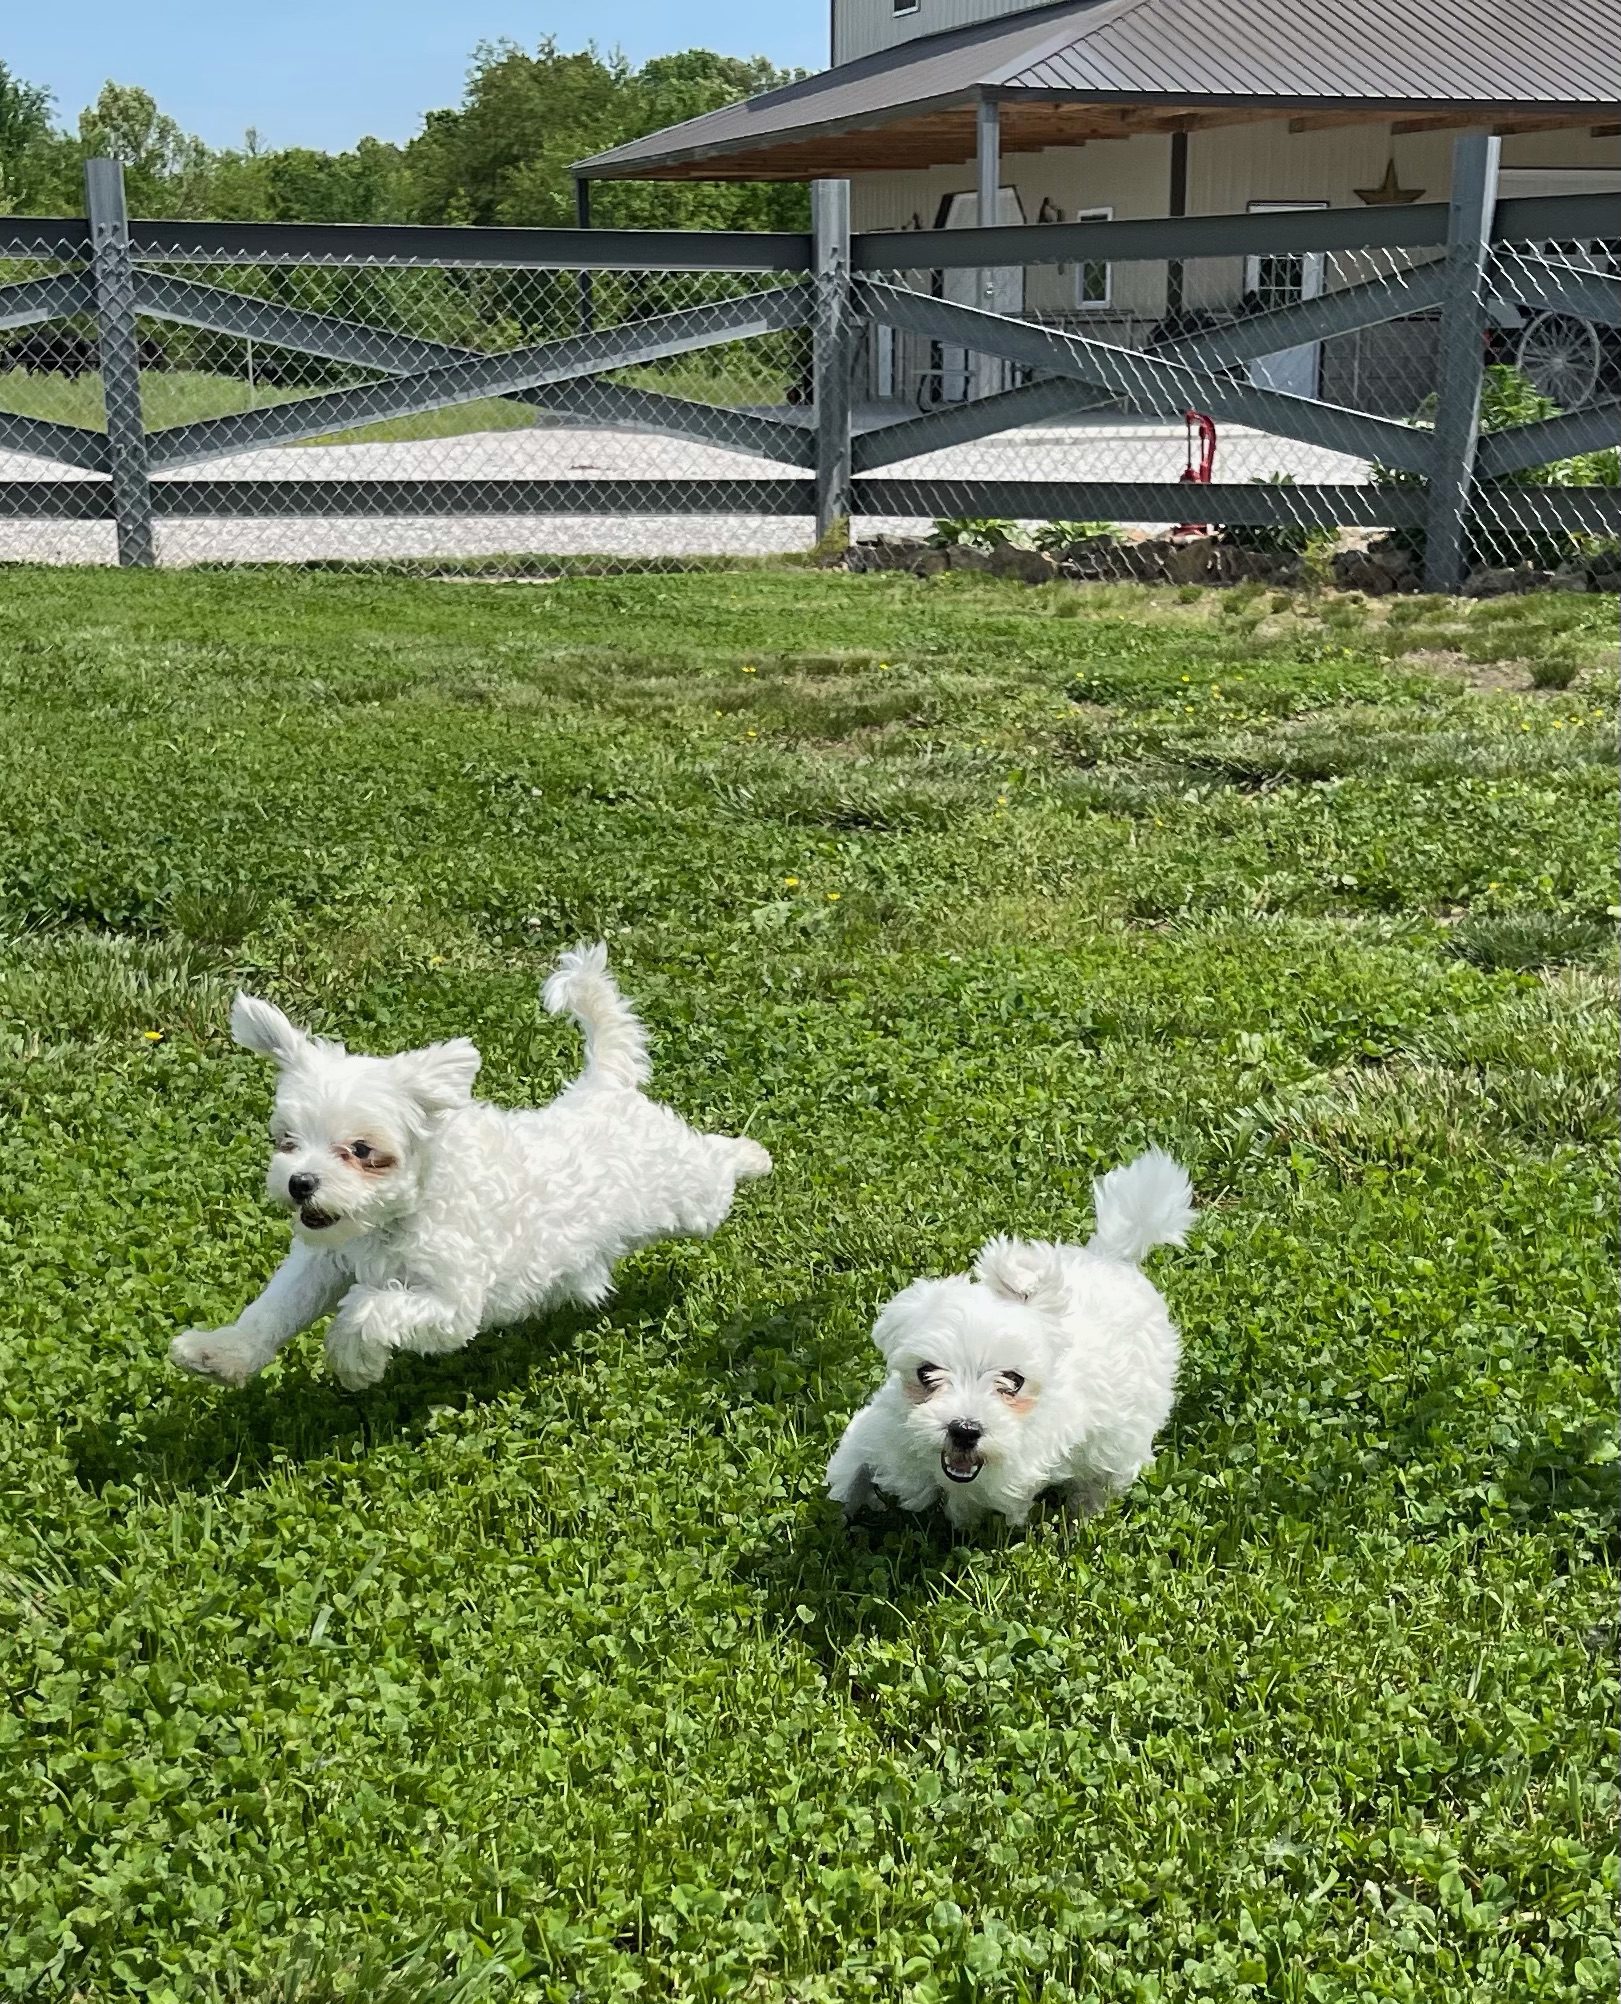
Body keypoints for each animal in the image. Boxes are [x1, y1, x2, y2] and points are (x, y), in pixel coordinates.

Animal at [170, 941, 773, 1386]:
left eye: (362, 1151)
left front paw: (352, 1361)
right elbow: (272, 1310)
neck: (394, 1220)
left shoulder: (451, 1302)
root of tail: (603, 1084)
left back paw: (750, 1154)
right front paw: (219, 1354)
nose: (300, 1184)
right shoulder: (323, 1262)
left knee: (713, 1167)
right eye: (287, 1141)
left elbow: (367, 1310)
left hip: (687, 1198)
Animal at [829, 1154, 1194, 1523]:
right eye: (925, 1373)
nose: (964, 1429)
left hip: (1123, 1434)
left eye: (1013, 1381)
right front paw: (842, 1510)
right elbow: (853, 1465)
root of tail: (1112, 1257)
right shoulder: (880, 1431)